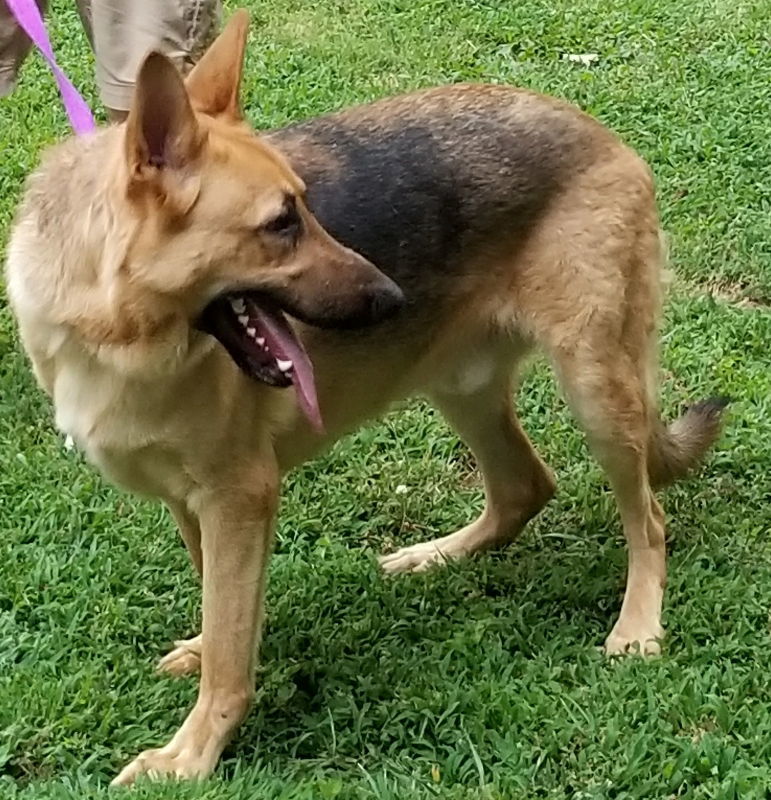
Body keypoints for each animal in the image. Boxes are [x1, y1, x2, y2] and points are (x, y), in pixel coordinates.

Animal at [6, 9, 728, 784]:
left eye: (303, 207)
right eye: (281, 224)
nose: (392, 299)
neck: (116, 328)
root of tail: (598, 131)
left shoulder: (240, 497)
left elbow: (230, 650)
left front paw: (192, 754)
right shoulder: (192, 502)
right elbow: (221, 614)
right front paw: (211, 653)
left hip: (596, 390)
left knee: (647, 520)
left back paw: (637, 624)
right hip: (460, 385)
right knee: (524, 487)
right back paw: (436, 556)